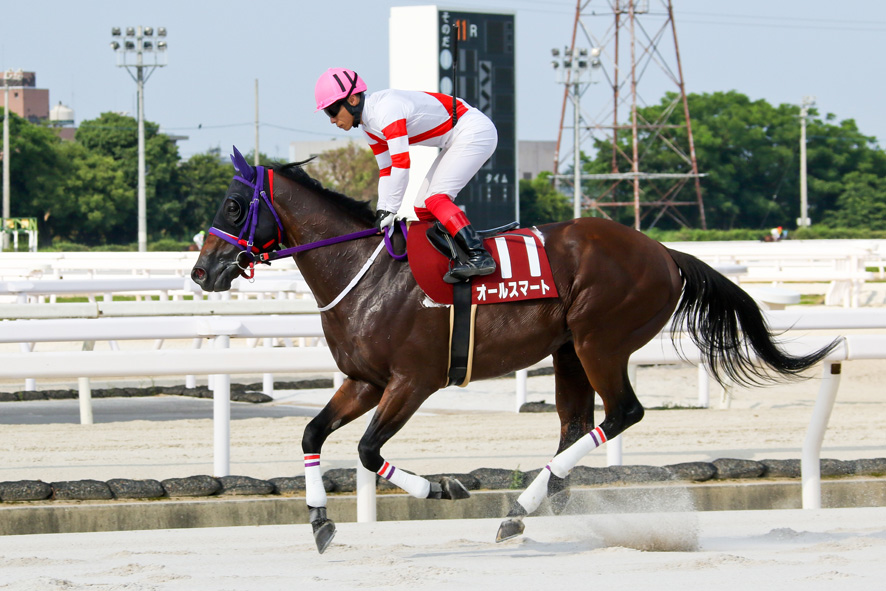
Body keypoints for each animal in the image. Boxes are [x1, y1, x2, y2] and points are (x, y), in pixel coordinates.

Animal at [191, 154, 836, 556]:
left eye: (232, 206)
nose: (201, 273)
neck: (365, 273)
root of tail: (664, 252)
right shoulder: (363, 381)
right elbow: (312, 434)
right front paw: (321, 520)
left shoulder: (412, 382)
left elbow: (369, 450)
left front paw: (445, 489)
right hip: (570, 351)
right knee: (576, 424)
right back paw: (535, 504)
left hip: (599, 339)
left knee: (622, 413)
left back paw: (521, 505)